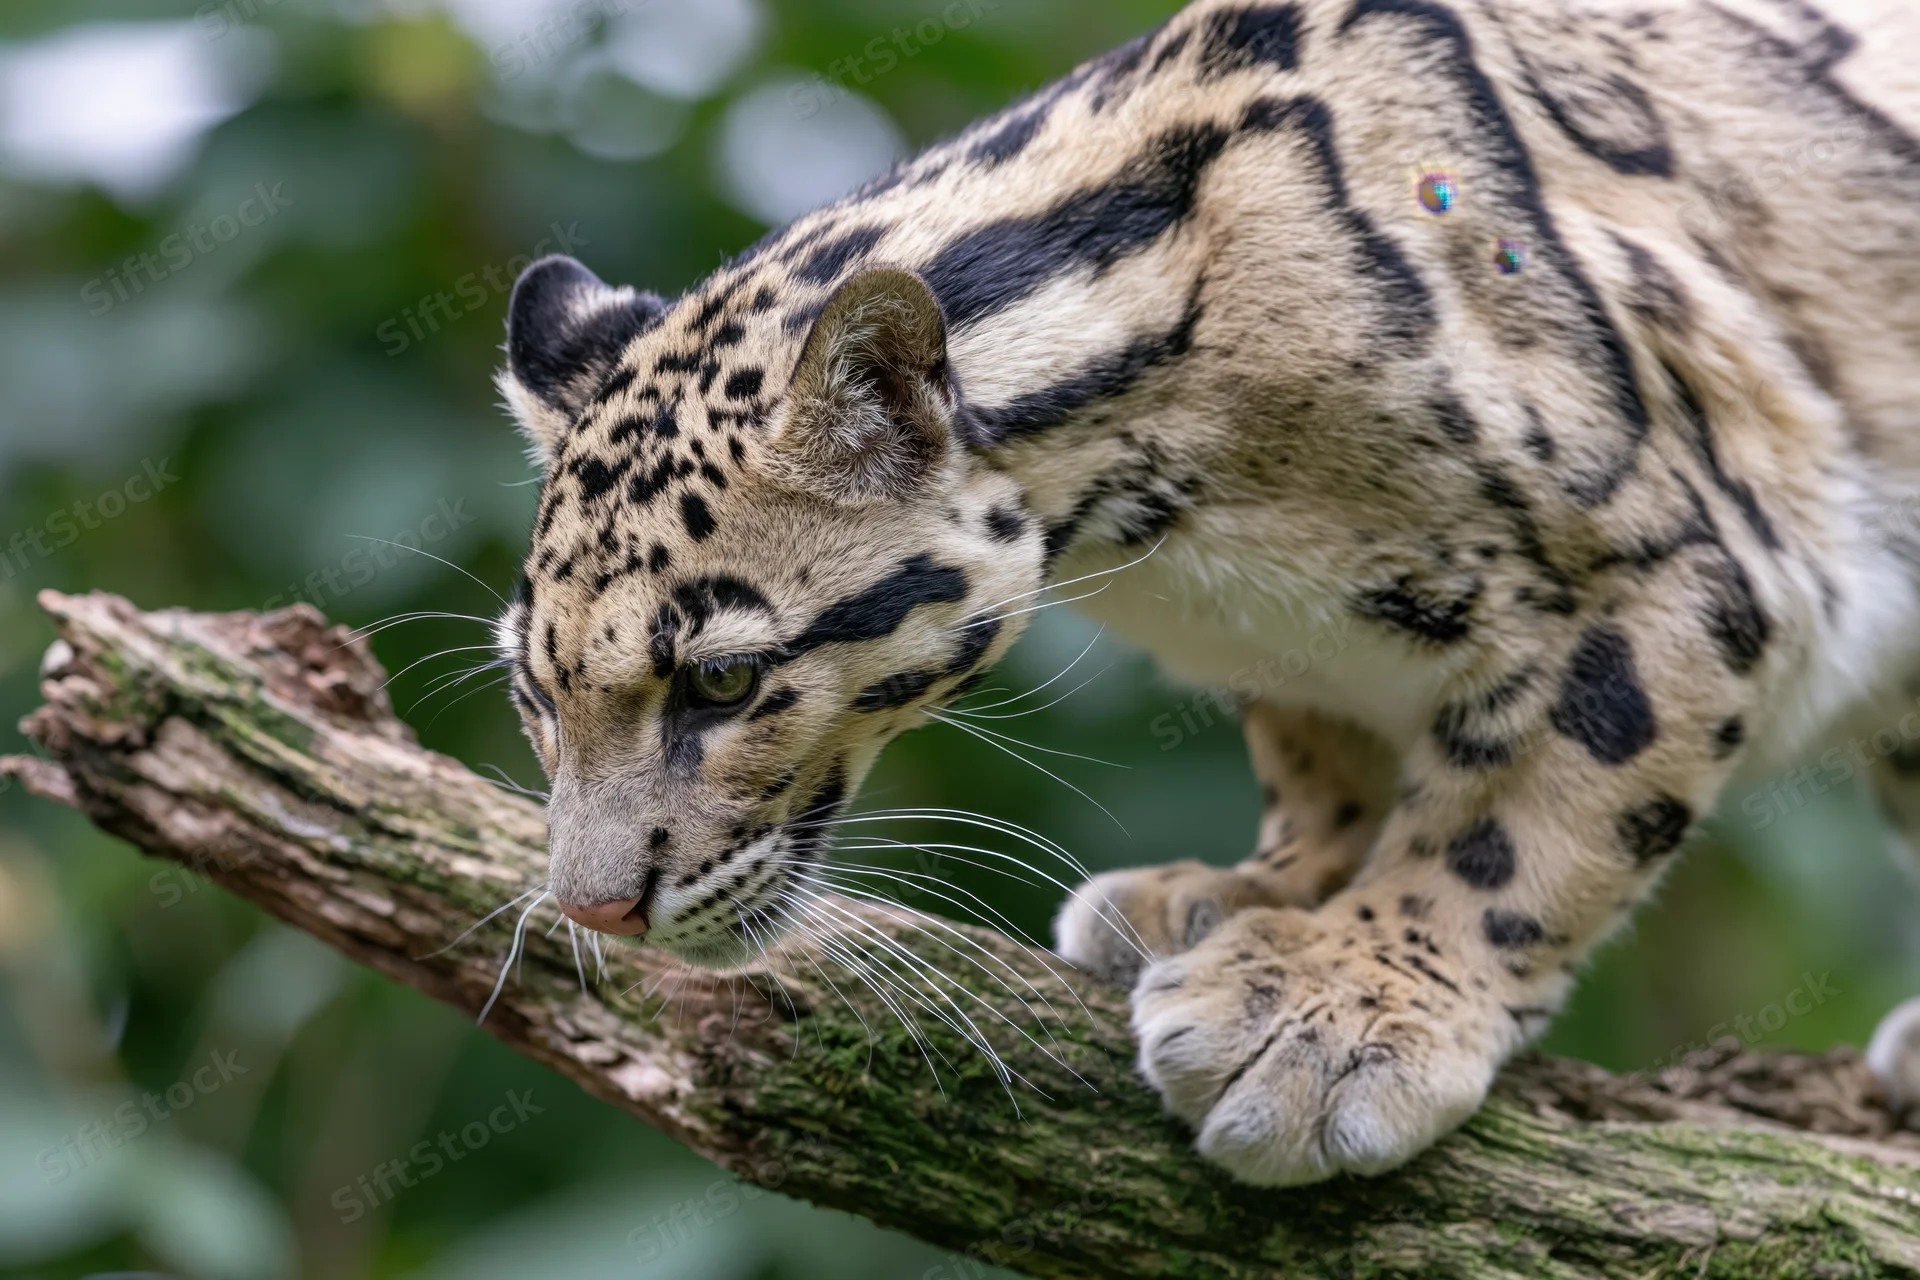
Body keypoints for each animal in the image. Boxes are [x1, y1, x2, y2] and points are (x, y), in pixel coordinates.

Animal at [492, 0, 1920, 1186]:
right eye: (533, 691)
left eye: (723, 678)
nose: (594, 906)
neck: (1171, 523)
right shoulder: (1305, 642)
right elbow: (1324, 755)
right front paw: (1261, 891)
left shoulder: (1692, 559)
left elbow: (1524, 814)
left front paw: (1344, 1007)